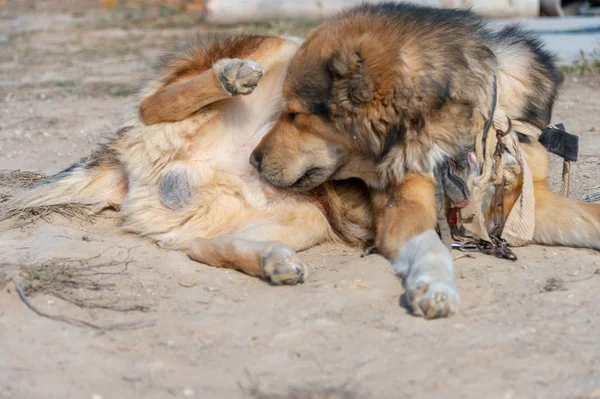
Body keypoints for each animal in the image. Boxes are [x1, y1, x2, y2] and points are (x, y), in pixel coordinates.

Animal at [251, 1, 600, 318]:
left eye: (295, 115)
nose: (253, 160)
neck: (451, 125)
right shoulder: (405, 204)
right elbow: (432, 247)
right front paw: (435, 287)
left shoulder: (526, 204)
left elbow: (591, 215)